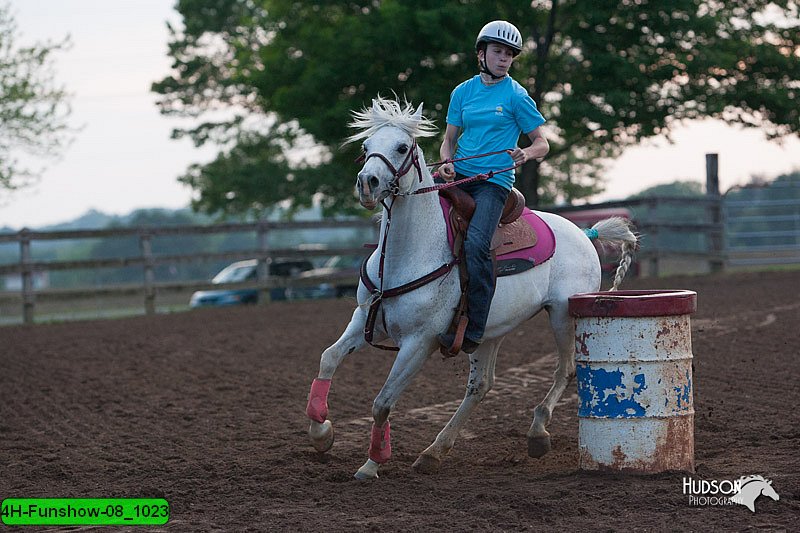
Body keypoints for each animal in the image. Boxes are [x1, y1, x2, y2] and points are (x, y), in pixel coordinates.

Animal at [306, 97, 636, 480]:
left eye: (402, 147)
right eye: (366, 146)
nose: (367, 183)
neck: (410, 252)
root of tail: (584, 233)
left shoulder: (419, 342)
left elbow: (382, 402)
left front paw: (372, 463)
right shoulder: (364, 318)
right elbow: (328, 358)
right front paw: (321, 432)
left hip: (563, 314)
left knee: (565, 369)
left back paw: (537, 432)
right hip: (488, 331)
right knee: (480, 387)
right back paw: (434, 452)